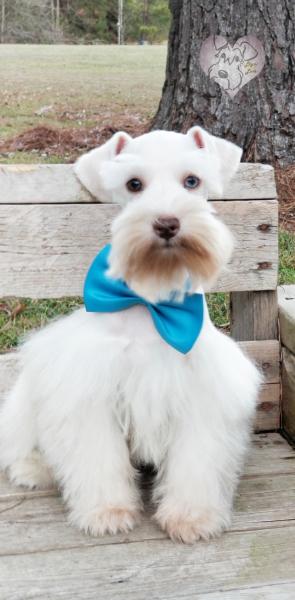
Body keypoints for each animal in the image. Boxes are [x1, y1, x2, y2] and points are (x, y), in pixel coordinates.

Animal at [0, 126, 262, 544]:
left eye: (192, 181)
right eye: (133, 184)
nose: (167, 223)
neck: (152, 301)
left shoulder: (201, 395)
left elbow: (196, 461)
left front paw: (191, 516)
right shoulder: (91, 392)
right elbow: (99, 459)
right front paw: (107, 511)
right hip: (28, 398)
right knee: (20, 443)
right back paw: (33, 469)